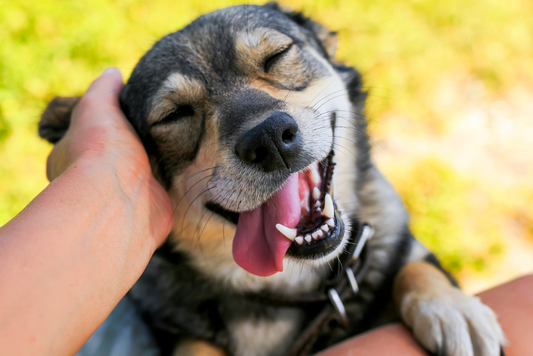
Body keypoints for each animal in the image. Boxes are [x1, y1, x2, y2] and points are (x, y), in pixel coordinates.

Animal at [39, 3, 504, 356]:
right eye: (174, 115)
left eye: (277, 56)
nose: (268, 138)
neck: (291, 286)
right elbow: (194, 346)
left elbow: (416, 268)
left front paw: (451, 308)